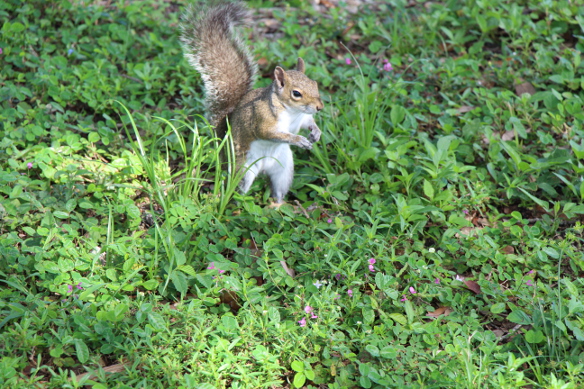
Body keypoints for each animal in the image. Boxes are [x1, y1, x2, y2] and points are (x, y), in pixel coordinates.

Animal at [180, 0, 324, 203]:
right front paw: (298, 140)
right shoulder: (262, 117)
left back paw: (277, 205)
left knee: (278, 188)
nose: (319, 107)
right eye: (296, 93)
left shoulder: (302, 118)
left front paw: (316, 133)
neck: (292, 112)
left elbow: (308, 123)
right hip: (243, 170)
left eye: (315, 84)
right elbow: (268, 132)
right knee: (237, 190)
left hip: (283, 169)